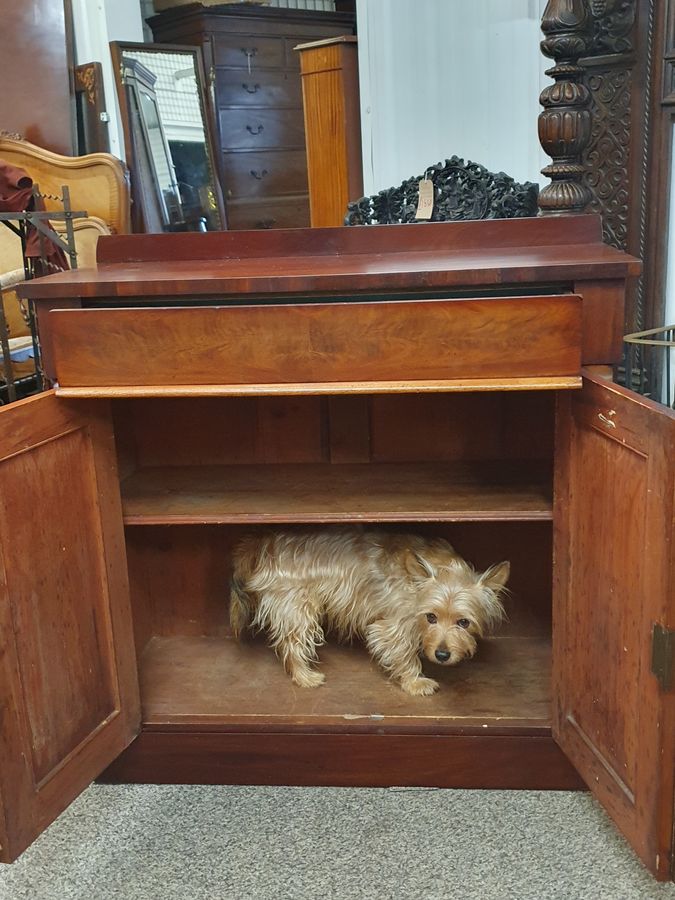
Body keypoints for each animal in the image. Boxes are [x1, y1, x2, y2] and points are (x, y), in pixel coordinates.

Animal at [230, 528, 510, 696]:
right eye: (430, 617)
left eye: (464, 622)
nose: (442, 655)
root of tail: (264, 543)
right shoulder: (393, 625)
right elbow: (404, 652)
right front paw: (415, 682)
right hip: (297, 607)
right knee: (291, 643)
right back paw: (304, 676)